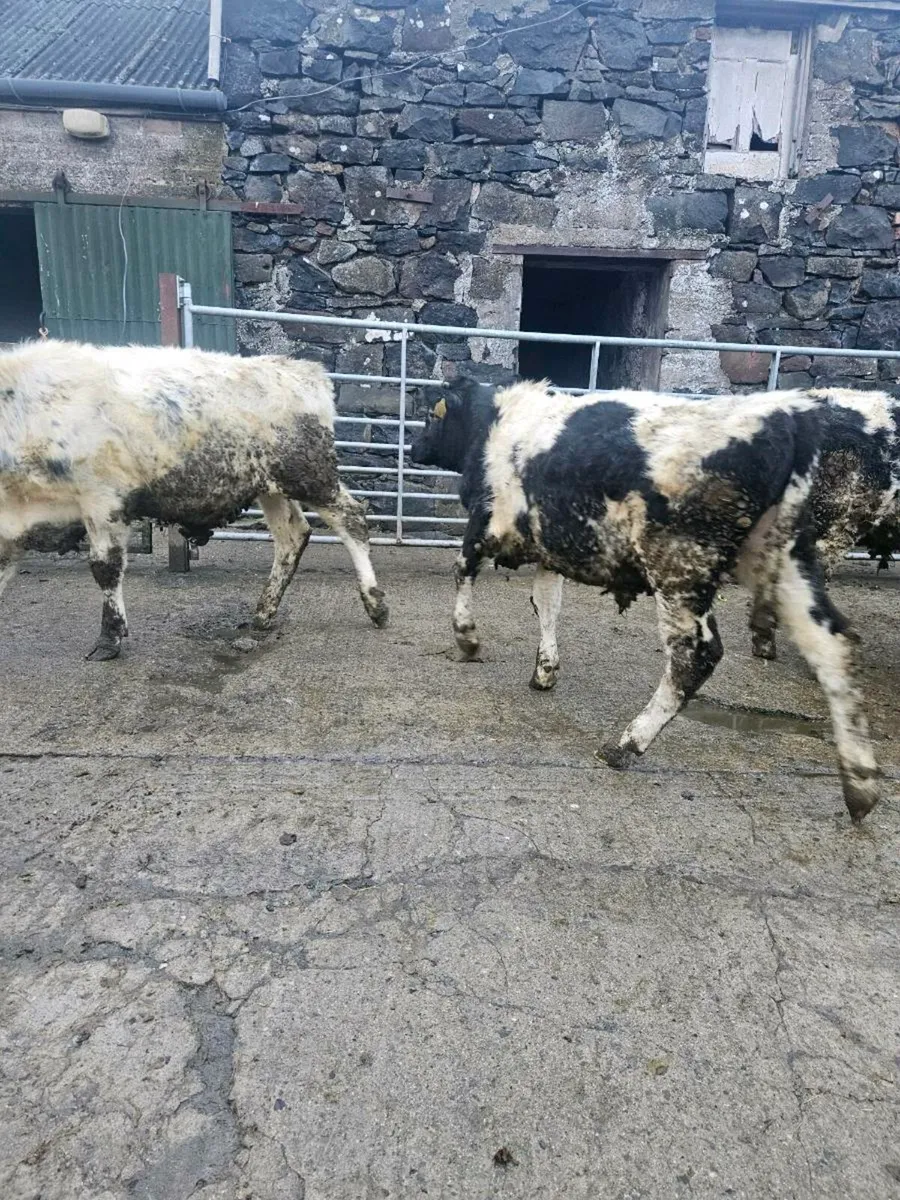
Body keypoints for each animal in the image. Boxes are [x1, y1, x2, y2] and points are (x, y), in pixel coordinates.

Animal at [0, 340, 388, 660]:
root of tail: (301, 370)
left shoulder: (102, 498)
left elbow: (105, 568)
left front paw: (109, 639)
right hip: (271, 487)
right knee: (293, 535)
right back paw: (263, 612)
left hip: (311, 476)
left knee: (352, 520)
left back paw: (375, 605)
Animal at [410, 377, 880, 823]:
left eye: (432, 416)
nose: (414, 447)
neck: (495, 422)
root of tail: (787, 417)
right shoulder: (550, 547)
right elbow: (546, 604)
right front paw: (544, 671)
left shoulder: (486, 522)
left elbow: (463, 570)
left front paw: (467, 638)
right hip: (787, 561)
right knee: (833, 645)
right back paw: (861, 785)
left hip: (681, 568)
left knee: (696, 655)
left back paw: (626, 744)